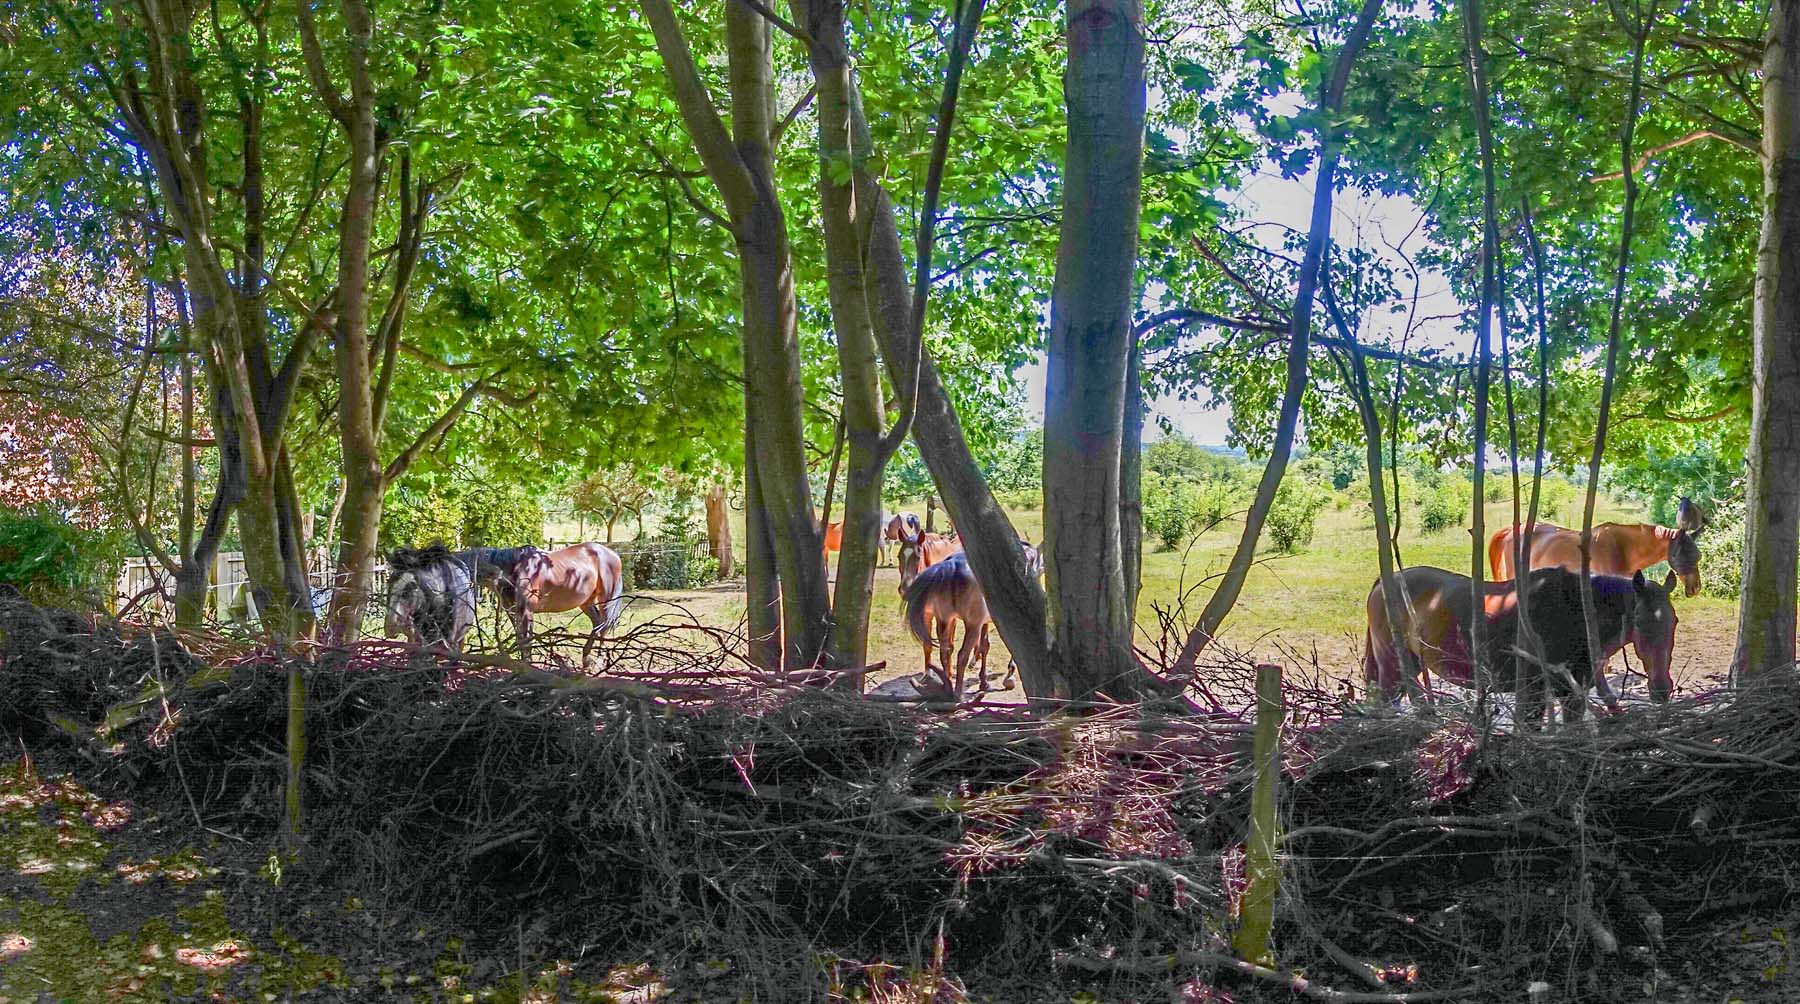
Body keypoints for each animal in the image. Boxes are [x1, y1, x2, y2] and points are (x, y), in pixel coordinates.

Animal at [488, 543, 626, 670]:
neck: (519, 568)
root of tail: (614, 555)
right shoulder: (512, 610)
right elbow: (520, 638)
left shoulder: (527, 611)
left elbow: (526, 640)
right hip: (587, 602)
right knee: (597, 623)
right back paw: (586, 659)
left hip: (607, 599)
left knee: (604, 626)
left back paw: (599, 662)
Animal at [1362, 565, 1677, 726]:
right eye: (1639, 622)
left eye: (1673, 622)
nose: (1662, 689)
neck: (1576, 611)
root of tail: (1382, 582)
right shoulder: (1534, 690)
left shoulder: (1573, 694)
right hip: (1392, 665)